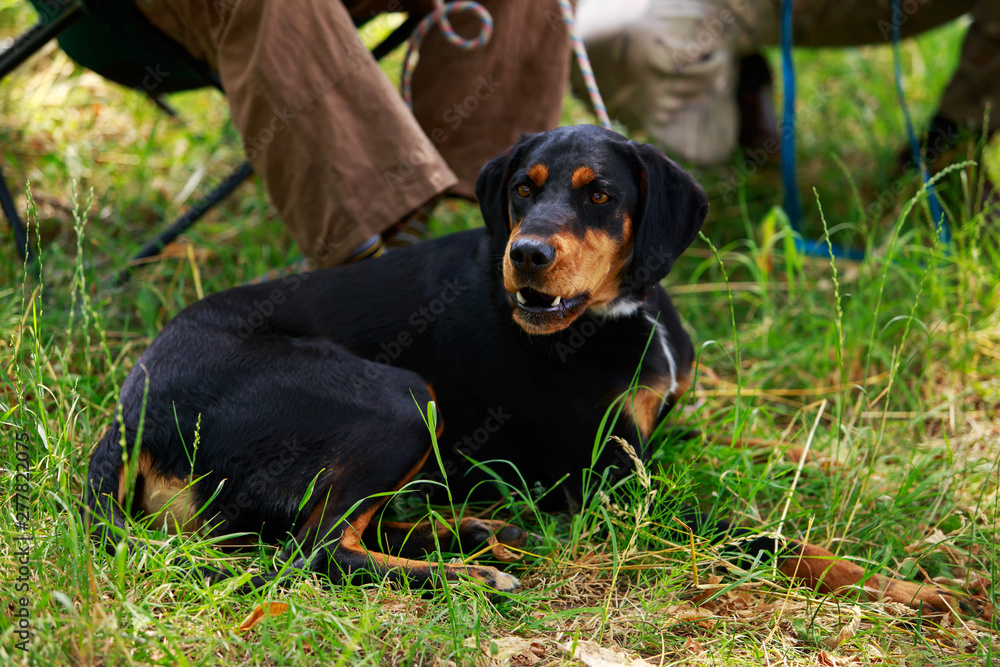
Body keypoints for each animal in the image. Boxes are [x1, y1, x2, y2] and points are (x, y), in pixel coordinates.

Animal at [86, 125, 976, 616]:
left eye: (599, 194)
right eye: (523, 188)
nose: (527, 256)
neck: (623, 314)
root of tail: (131, 407)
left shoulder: (657, 441)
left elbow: (762, 467)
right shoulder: (614, 485)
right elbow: (757, 532)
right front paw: (904, 587)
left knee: (335, 525)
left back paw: (483, 532)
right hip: (401, 397)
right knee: (313, 548)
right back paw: (469, 575)